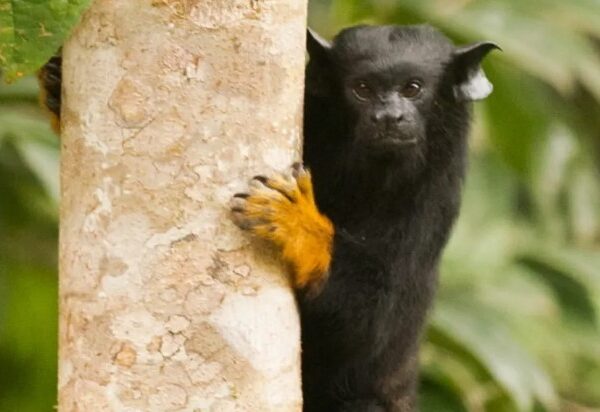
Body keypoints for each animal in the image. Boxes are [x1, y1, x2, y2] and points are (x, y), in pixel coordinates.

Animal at [39, 25, 500, 412]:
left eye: (413, 88)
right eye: (364, 89)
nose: (390, 116)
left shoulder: (429, 197)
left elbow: (371, 322)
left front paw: (300, 225)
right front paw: (56, 86)